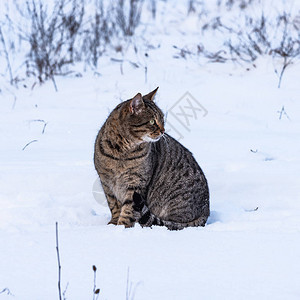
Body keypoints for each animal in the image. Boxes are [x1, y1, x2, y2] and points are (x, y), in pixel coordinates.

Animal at [95, 86, 210, 230]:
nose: (163, 130)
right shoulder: (106, 182)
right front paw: (113, 224)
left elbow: (128, 210)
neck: (121, 152)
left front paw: (122, 227)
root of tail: (206, 212)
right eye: (152, 121)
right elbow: (114, 205)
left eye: (162, 119)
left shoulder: (136, 183)